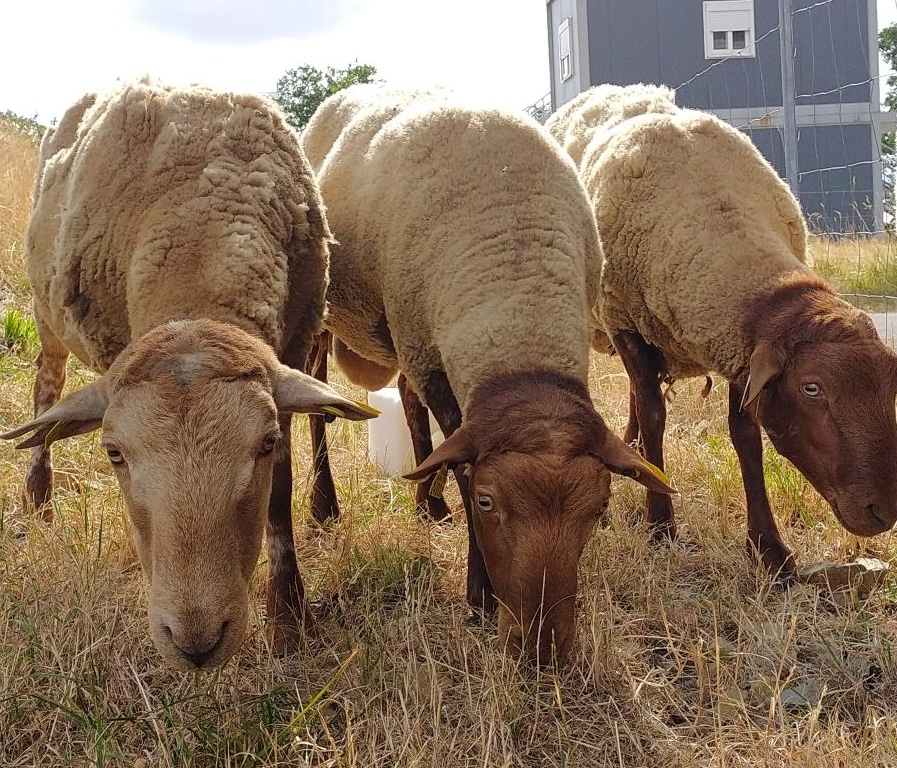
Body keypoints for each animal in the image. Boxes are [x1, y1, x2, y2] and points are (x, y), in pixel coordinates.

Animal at [0, 80, 377, 671]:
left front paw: (288, 618)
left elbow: (279, 494)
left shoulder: (293, 351)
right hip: (46, 312)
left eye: (265, 444)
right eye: (113, 453)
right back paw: (38, 500)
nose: (196, 642)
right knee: (47, 385)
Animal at [305, 92, 675, 664]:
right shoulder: (430, 353)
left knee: (409, 403)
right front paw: (479, 596)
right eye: (487, 502)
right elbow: (459, 462)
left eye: (600, 508)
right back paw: (324, 509)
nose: (543, 650)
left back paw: (428, 505)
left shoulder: (430, 344)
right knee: (319, 405)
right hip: (332, 310)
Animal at [546, 84, 897, 578]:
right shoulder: (626, 324)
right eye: (812, 388)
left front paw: (768, 549)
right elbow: (655, 415)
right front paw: (660, 525)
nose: (885, 513)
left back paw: (630, 447)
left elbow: (745, 436)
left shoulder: (738, 349)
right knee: (639, 392)